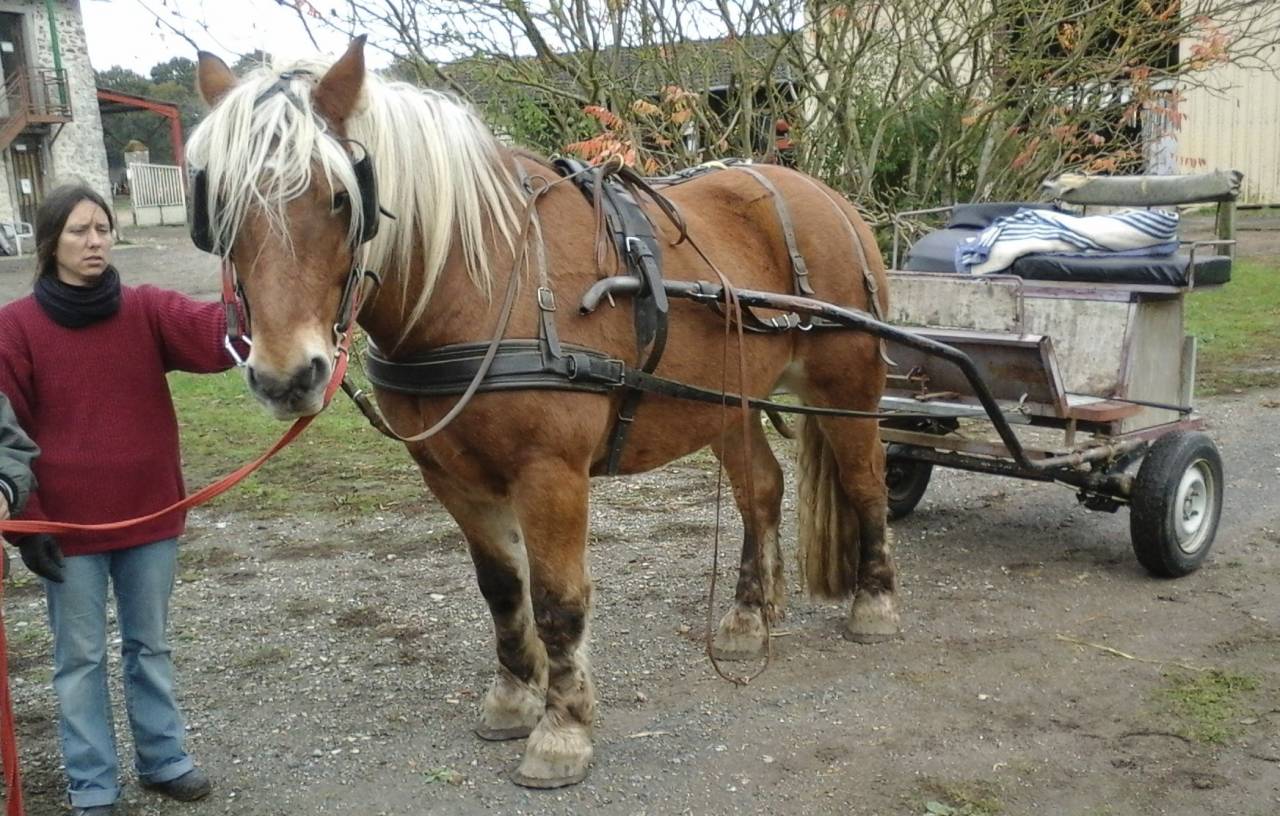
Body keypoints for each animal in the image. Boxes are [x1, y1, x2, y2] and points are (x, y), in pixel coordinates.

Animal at [189, 37, 897, 788]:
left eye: (340, 199)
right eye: (219, 209)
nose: (287, 376)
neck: (483, 278)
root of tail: (827, 198)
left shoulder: (551, 473)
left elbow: (558, 600)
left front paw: (563, 731)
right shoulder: (452, 477)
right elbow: (502, 589)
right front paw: (513, 698)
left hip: (848, 385)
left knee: (865, 483)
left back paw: (875, 603)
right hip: (728, 403)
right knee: (761, 490)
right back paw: (746, 618)